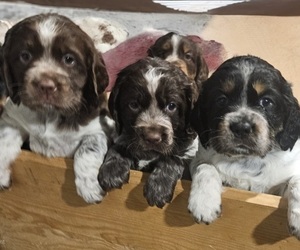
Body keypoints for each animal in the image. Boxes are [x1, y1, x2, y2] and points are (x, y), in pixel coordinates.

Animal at [0, 13, 110, 204]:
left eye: (69, 59)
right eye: (25, 56)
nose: (46, 86)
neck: (50, 113)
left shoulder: (98, 129)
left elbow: (87, 150)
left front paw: (89, 187)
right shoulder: (13, 119)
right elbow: (4, 140)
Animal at [97, 57, 198, 208]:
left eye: (171, 106)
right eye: (133, 105)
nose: (152, 138)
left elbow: (174, 158)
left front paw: (159, 188)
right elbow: (118, 147)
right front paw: (112, 170)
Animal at [189, 55, 300, 239]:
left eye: (266, 101)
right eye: (221, 100)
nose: (241, 127)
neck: (247, 159)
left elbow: (296, 181)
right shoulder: (201, 159)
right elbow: (205, 167)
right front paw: (203, 203)